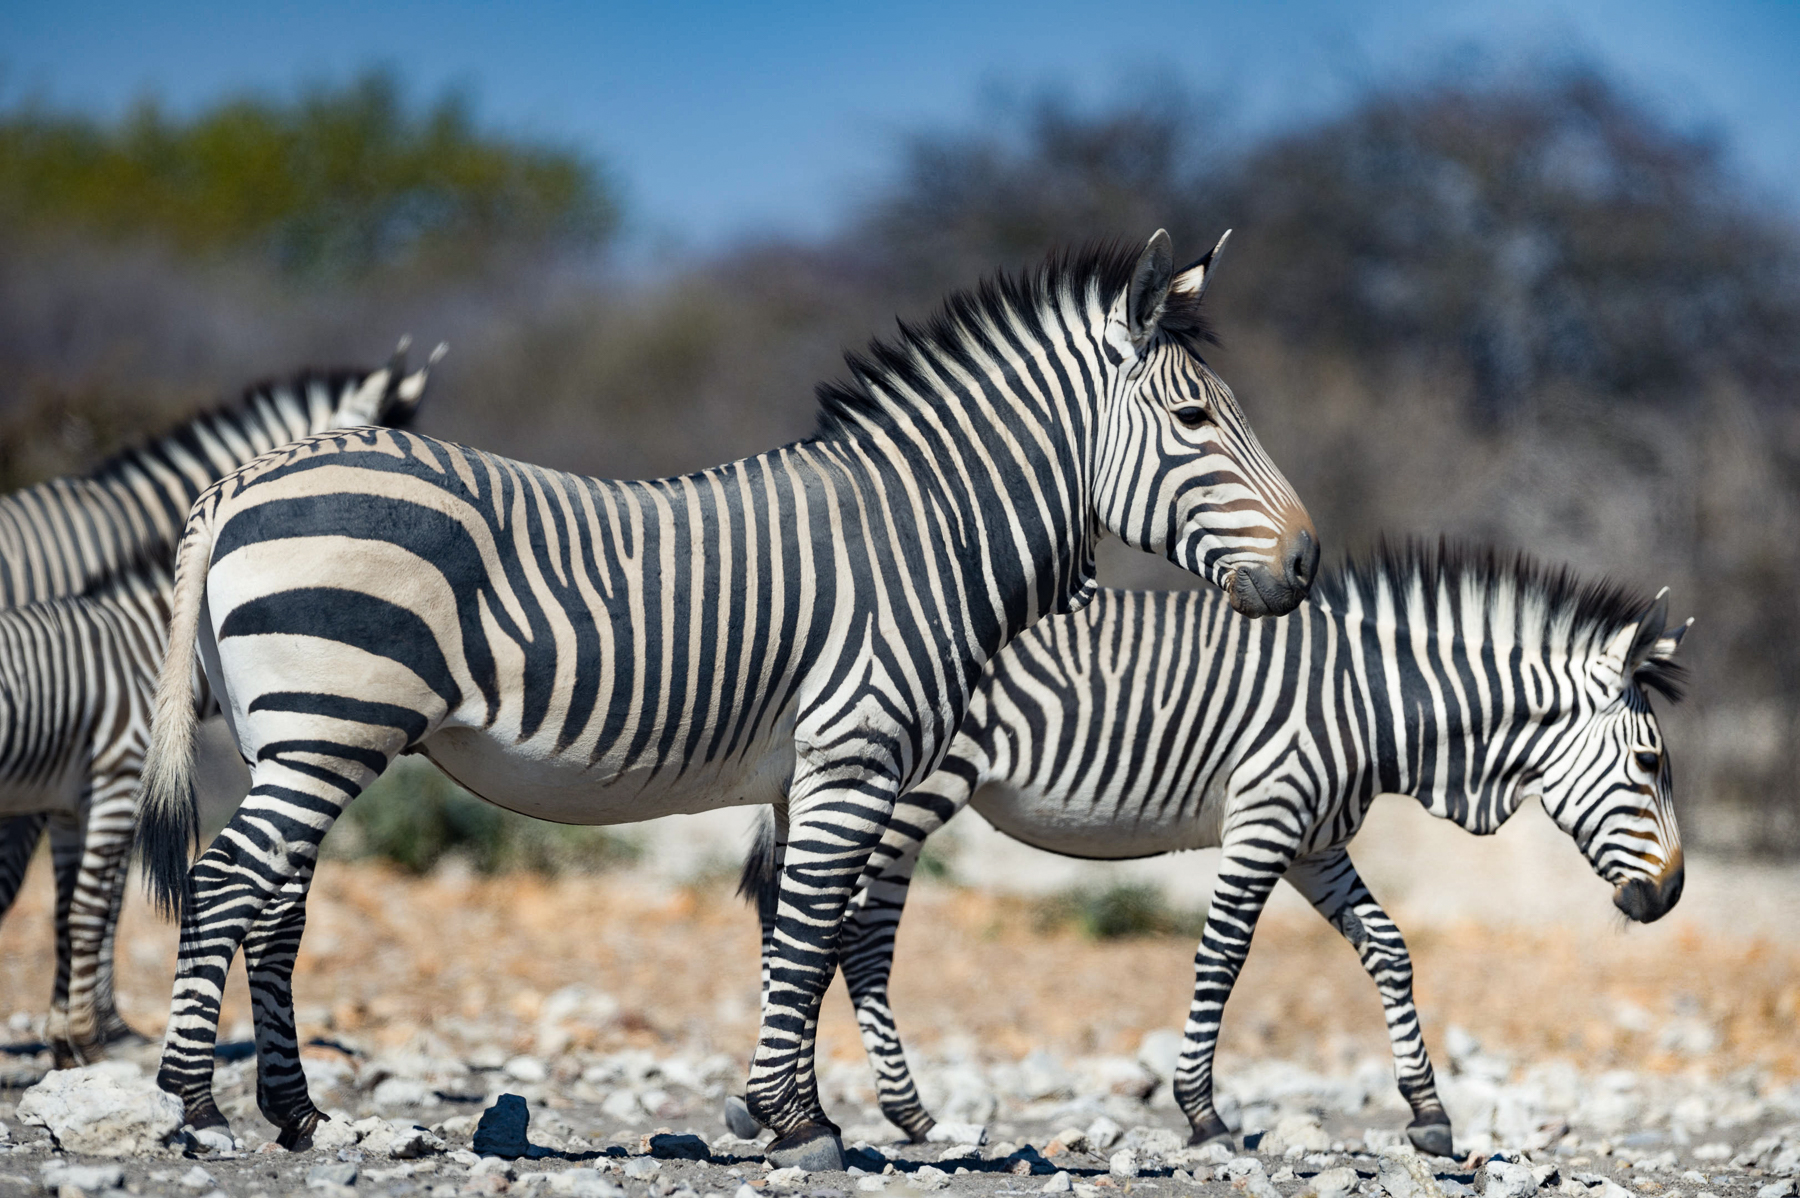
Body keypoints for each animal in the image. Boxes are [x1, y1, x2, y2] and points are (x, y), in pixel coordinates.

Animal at [0, 351, 435, 1067]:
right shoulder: (92, 772)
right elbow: (93, 903)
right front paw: (98, 1033)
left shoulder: (70, 786)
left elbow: (78, 905)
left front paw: (83, 1032)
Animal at [131, 232, 1320, 1167]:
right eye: (1194, 418)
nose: (1309, 563)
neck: (929, 537)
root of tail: (245, 478)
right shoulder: (856, 753)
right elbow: (813, 925)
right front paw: (799, 1125)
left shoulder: (810, 774)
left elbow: (796, 925)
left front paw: (788, 1112)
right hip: (328, 727)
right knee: (228, 881)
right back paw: (196, 1109)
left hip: (293, 736)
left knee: (276, 902)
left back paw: (299, 1115)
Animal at [736, 544, 1689, 1156]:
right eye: (1650, 762)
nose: (1671, 898)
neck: (1377, 707)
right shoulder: (1266, 818)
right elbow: (1222, 958)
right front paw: (1203, 1114)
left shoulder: (1315, 844)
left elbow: (1388, 949)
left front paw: (1428, 1112)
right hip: (909, 791)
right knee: (832, 929)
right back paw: (842, 1114)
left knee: (830, 929)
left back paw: (837, 1115)